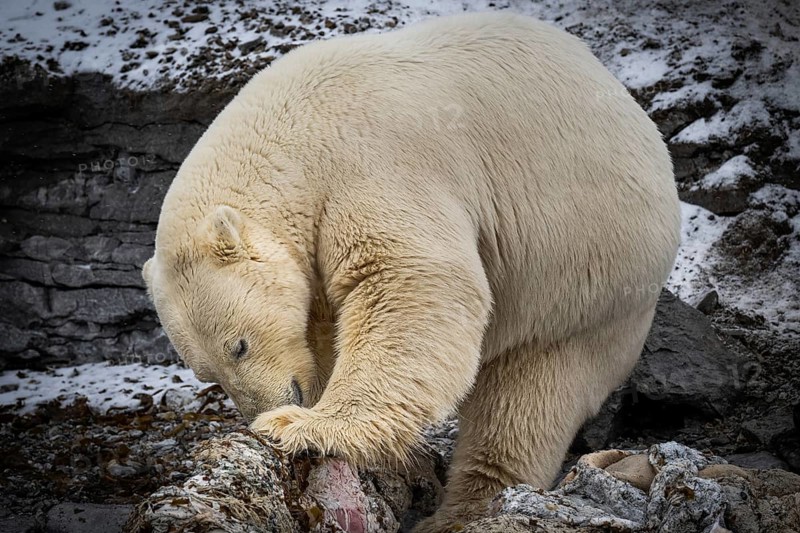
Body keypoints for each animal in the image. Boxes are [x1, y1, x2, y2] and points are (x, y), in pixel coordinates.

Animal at [142, 12, 681, 531]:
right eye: (206, 373)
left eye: (239, 345)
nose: (261, 410)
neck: (290, 133)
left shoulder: (368, 161)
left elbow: (411, 278)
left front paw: (302, 426)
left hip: (583, 271)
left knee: (527, 396)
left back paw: (461, 511)